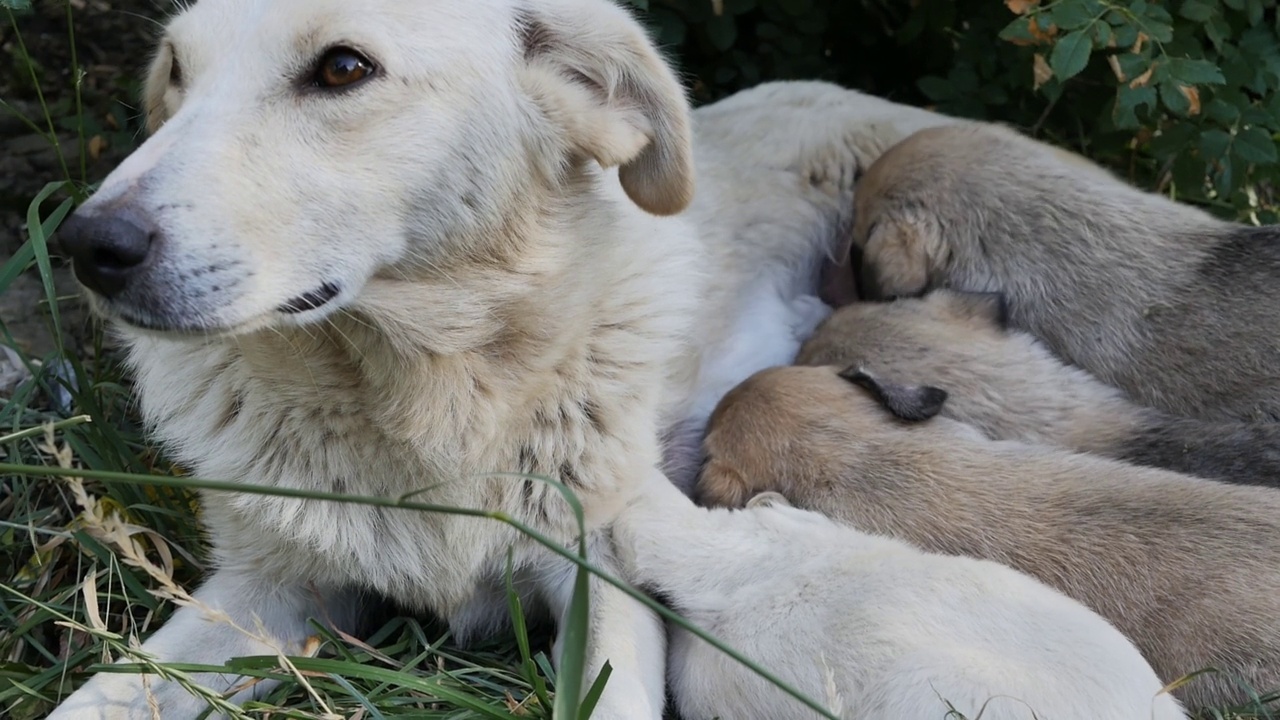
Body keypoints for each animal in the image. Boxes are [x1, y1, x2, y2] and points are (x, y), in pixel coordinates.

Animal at [45, 1, 962, 717]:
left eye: (343, 68)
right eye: (176, 70)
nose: (88, 246)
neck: (425, 399)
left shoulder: (604, 583)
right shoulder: (265, 592)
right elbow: (103, 695)